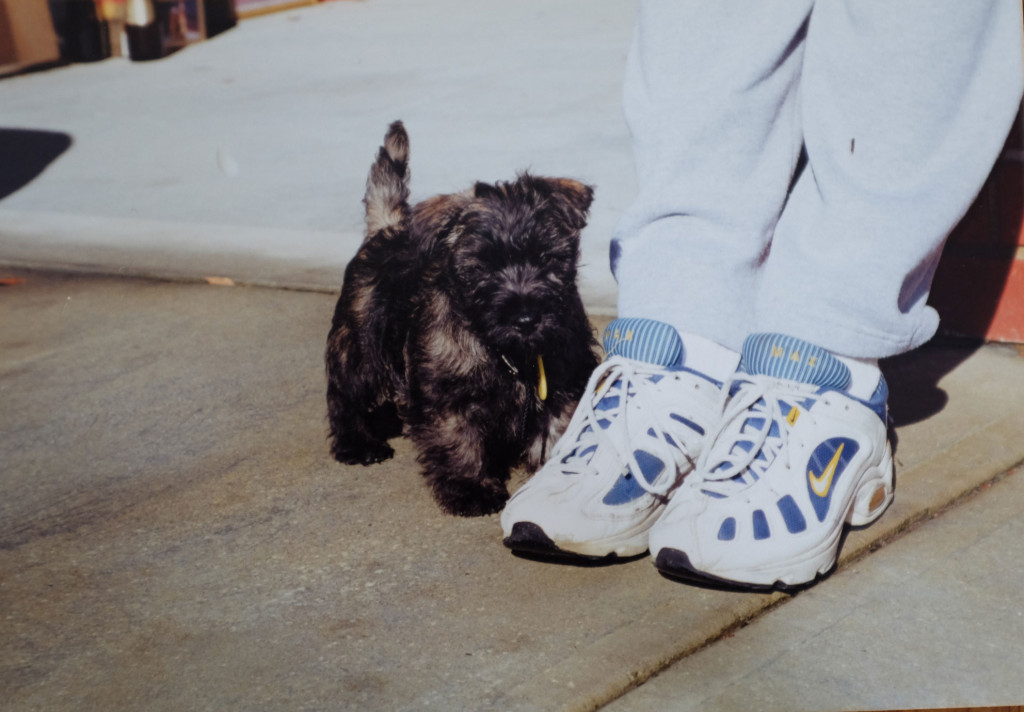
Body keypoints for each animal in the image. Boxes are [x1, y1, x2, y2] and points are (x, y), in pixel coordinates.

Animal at [327, 122, 598, 518]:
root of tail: (384, 230)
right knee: (344, 397)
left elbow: (559, 432)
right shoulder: (448, 397)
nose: (526, 318)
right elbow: (459, 442)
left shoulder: (564, 385)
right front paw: (472, 490)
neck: (508, 355)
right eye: (482, 267)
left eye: (547, 258)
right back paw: (357, 444)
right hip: (359, 349)